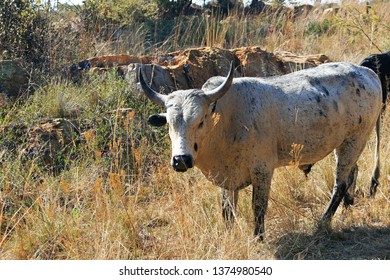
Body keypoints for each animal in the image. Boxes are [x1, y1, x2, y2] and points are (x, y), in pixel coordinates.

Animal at [139, 61, 382, 238]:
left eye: (200, 121)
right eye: (169, 124)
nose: (181, 160)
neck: (227, 119)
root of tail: (367, 72)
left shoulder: (262, 170)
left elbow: (258, 207)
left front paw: (258, 238)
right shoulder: (228, 177)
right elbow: (227, 210)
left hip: (355, 140)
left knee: (340, 183)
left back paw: (323, 221)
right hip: (345, 145)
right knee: (352, 173)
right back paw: (348, 206)